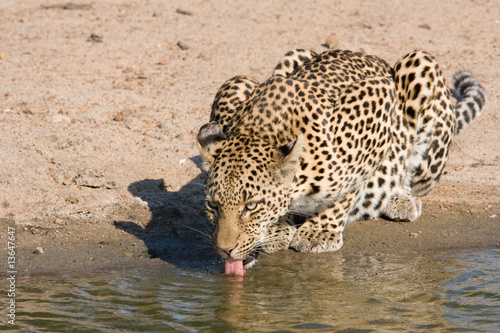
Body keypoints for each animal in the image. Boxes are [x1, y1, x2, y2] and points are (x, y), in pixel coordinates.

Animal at [197, 48, 486, 272]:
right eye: (213, 206)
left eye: (251, 206)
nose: (225, 250)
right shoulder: (234, 85)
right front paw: (278, 229)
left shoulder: (377, 98)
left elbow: (350, 184)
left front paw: (320, 231)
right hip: (286, 58)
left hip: (420, 66)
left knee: (414, 175)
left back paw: (400, 199)